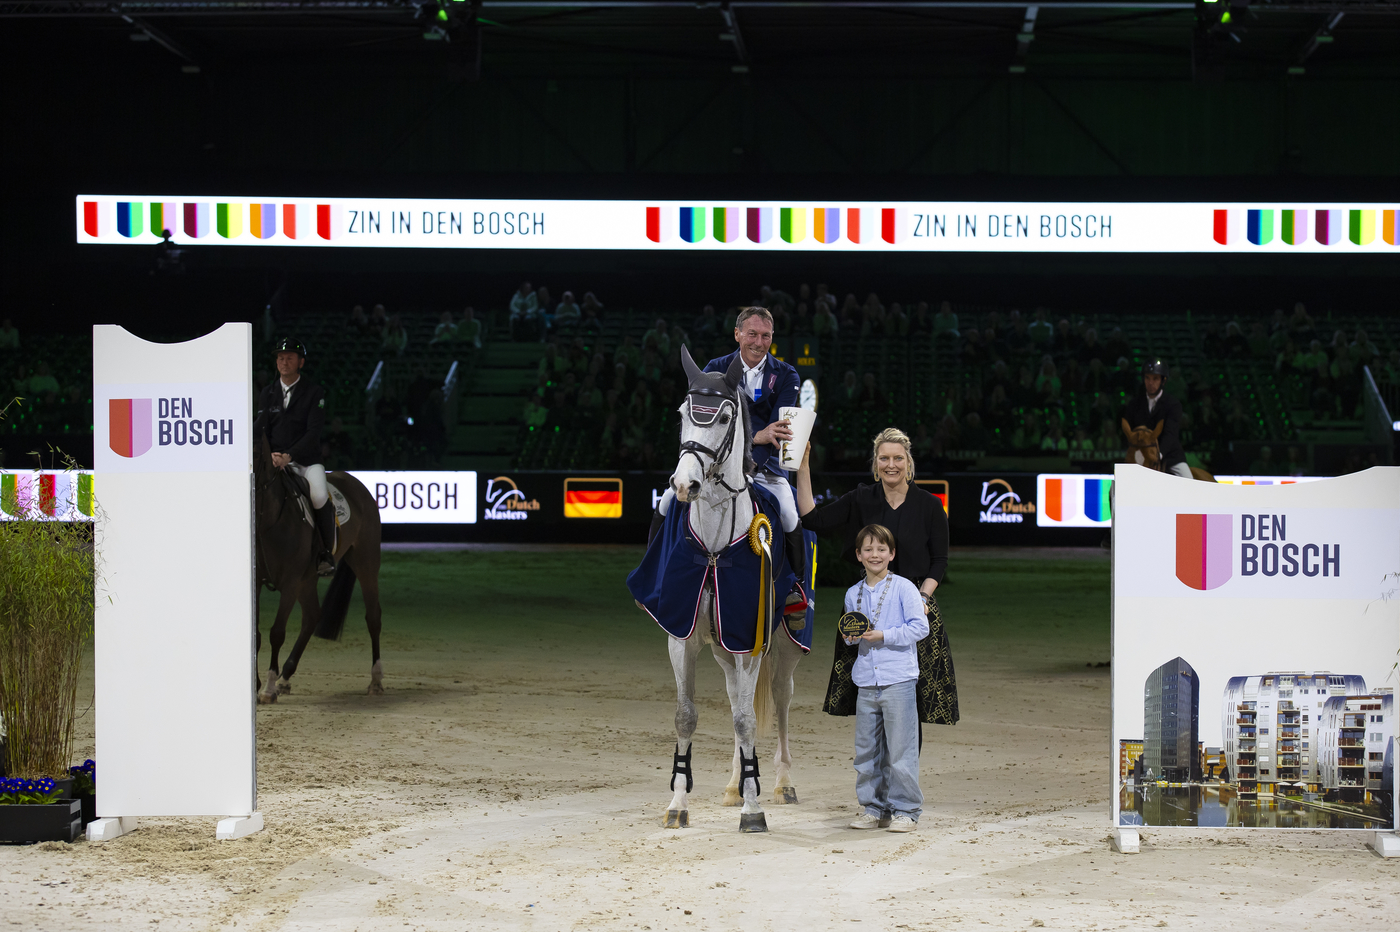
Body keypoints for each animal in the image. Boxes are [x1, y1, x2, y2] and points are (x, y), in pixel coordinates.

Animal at [254, 435, 385, 702]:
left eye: (256, 453)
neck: (269, 520)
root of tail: (354, 481)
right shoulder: (258, 581)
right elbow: (257, 635)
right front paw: (258, 684)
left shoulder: (290, 582)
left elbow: (276, 633)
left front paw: (267, 689)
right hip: (308, 579)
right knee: (312, 616)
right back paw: (285, 677)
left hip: (366, 562)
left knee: (373, 617)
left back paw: (376, 681)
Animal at [627, 347, 812, 833]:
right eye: (681, 413)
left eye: (726, 415)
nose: (683, 484)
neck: (712, 547)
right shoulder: (683, 637)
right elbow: (688, 715)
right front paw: (678, 804)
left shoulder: (749, 640)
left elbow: (748, 720)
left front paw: (754, 810)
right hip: (724, 651)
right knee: (734, 699)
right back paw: (734, 784)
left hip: (784, 645)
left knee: (779, 700)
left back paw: (781, 783)